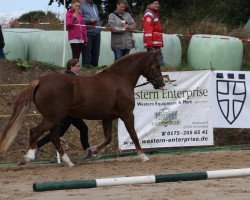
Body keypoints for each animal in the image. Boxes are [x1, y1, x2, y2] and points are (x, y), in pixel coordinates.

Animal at [0, 50, 165, 166]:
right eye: (156, 66)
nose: (161, 84)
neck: (120, 78)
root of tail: (40, 81)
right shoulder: (127, 114)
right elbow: (133, 135)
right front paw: (143, 156)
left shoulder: (107, 117)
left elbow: (108, 138)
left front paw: (92, 151)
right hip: (53, 117)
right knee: (36, 132)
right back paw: (28, 157)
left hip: (54, 119)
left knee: (54, 137)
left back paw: (68, 162)